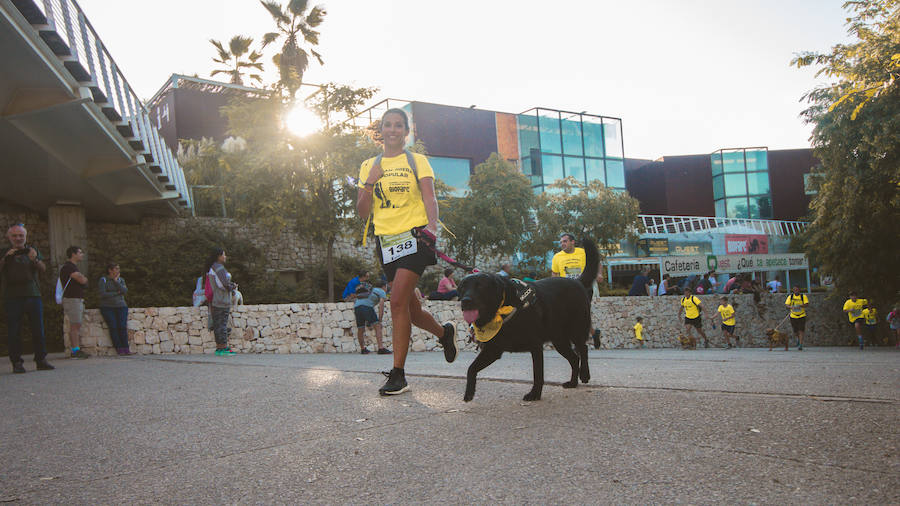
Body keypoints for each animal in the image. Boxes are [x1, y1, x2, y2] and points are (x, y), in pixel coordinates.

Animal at [458, 239, 596, 402]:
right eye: (463, 288)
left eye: (480, 287)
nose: (465, 301)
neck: (503, 306)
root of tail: (577, 282)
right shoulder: (493, 349)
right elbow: (471, 368)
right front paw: (469, 392)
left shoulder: (535, 345)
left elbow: (538, 374)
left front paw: (535, 394)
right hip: (559, 340)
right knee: (574, 358)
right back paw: (573, 382)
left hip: (576, 329)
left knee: (583, 348)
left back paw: (585, 374)